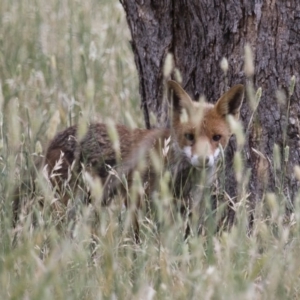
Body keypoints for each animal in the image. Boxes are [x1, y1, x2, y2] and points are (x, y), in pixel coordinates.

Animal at [43, 81, 244, 243]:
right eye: (189, 136)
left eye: (216, 137)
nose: (203, 159)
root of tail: (55, 139)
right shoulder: (138, 199)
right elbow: (139, 237)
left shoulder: (189, 206)